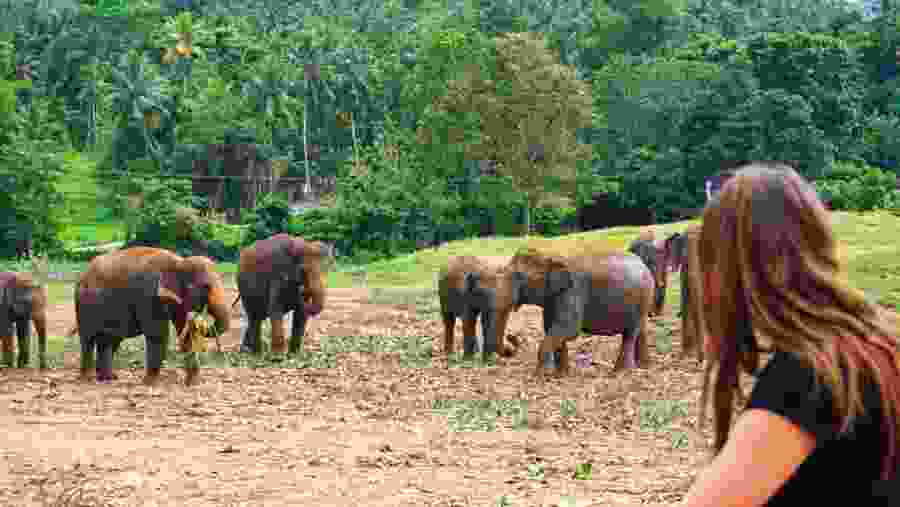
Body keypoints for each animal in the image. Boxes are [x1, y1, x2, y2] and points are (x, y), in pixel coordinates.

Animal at [72, 247, 231, 385]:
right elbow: (157, 333)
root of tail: (82, 276)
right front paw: (149, 382)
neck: (179, 262)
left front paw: (192, 383)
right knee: (88, 338)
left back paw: (108, 378)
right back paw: (87, 378)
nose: (196, 321)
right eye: (206, 287)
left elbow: (183, 330)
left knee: (109, 339)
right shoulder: (150, 295)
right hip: (84, 306)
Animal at [506, 248, 656, 376]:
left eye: (519, 276)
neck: (551, 256)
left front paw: (541, 375)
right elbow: (551, 327)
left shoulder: (573, 292)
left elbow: (569, 329)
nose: (511, 336)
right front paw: (561, 375)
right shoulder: (553, 299)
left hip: (642, 299)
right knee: (640, 331)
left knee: (630, 334)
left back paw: (620, 372)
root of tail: (644, 265)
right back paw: (644, 366)